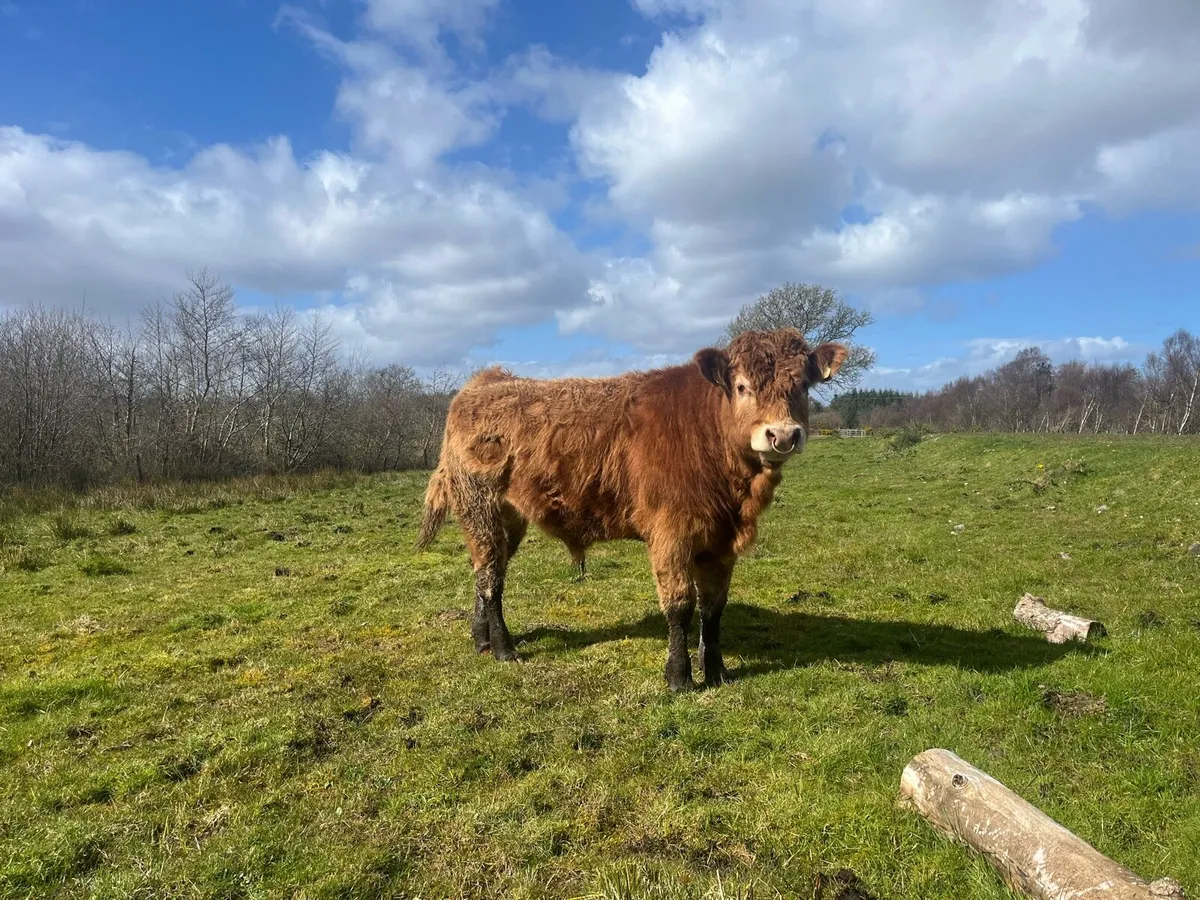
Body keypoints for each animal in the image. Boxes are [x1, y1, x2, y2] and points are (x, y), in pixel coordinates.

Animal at [415, 328, 849, 691]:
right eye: (742, 386)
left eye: (803, 385)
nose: (783, 435)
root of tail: (483, 383)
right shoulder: (671, 533)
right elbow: (679, 606)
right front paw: (679, 678)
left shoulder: (721, 543)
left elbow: (713, 608)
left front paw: (717, 671)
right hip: (480, 504)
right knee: (491, 576)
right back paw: (505, 649)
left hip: (508, 515)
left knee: (487, 570)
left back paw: (482, 641)